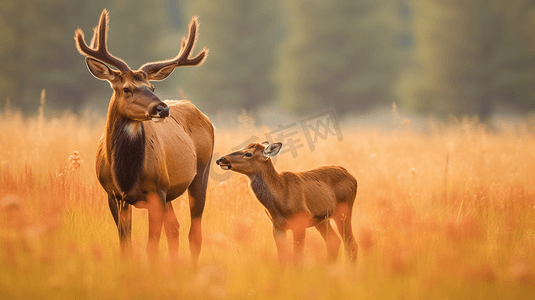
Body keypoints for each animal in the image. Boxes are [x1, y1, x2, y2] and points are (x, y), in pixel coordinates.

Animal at [75, 9, 214, 264]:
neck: (126, 175)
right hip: (170, 192)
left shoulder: (156, 192)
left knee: (194, 233)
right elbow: (126, 246)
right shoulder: (113, 195)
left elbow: (151, 247)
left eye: (152, 87)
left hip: (200, 173)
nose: (162, 108)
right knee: (175, 229)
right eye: (126, 88)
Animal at [217, 142, 360, 264]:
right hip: (322, 219)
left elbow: (297, 259)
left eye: (248, 154)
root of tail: (351, 175)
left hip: (344, 210)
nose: (220, 159)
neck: (280, 199)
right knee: (334, 241)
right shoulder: (277, 226)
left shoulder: (300, 221)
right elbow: (282, 259)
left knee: (351, 244)